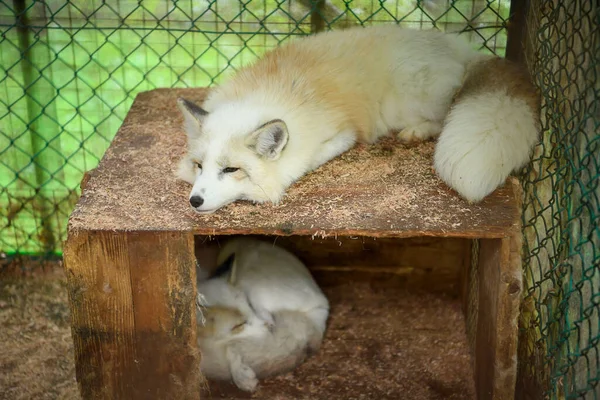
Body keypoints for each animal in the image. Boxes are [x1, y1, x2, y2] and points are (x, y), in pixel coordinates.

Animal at [177, 24, 540, 212]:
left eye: (231, 170)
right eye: (199, 166)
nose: (195, 201)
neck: (266, 96)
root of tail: (461, 48)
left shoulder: (343, 134)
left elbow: (309, 160)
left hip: (403, 99)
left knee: (443, 114)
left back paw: (416, 131)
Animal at [196, 238, 328, 390]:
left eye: (249, 305)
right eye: (239, 325)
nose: (267, 326)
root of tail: (322, 305)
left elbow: (230, 347)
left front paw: (241, 376)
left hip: (254, 285)